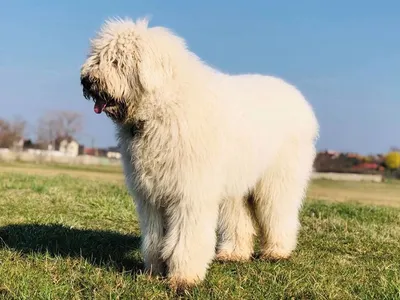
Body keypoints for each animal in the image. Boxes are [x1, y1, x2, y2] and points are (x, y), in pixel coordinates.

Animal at [80, 17, 318, 290]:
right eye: (97, 56)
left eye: (117, 60)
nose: (87, 80)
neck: (163, 108)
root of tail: (300, 100)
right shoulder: (151, 195)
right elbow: (154, 238)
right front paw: (153, 271)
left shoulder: (189, 192)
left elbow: (185, 238)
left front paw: (183, 278)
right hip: (236, 184)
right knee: (239, 218)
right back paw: (233, 253)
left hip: (278, 178)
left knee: (279, 211)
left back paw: (277, 251)